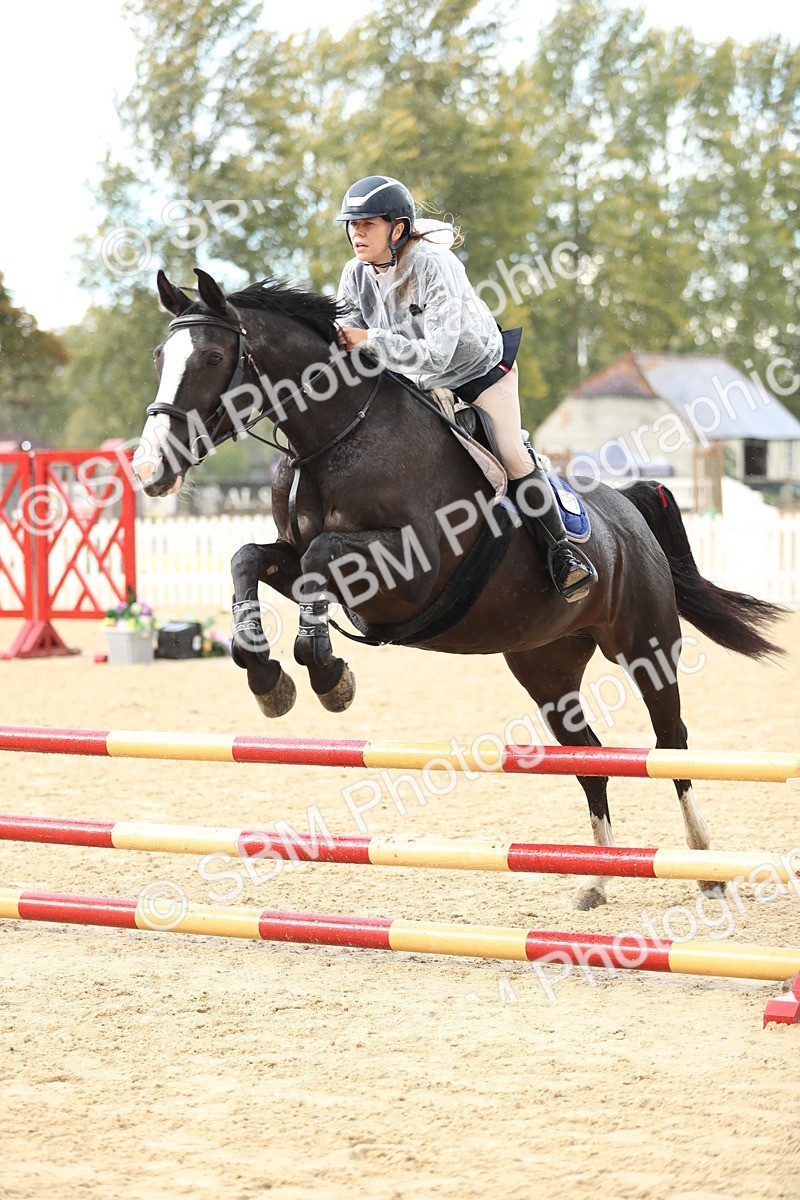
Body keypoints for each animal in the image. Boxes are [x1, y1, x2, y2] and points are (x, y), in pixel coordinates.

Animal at [133, 267, 784, 909]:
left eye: (213, 356)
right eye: (160, 354)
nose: (148, 470)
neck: (337, 436)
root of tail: (626, 507)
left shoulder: (410, 571)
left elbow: (322, 558)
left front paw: (327, 673)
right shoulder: (301, 563)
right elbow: (249, 558)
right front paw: (268, 677)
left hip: (646, 644)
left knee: (671, 743)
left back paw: (705, 867)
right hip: (545, 666)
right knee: (590, 758)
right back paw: (597, 879)